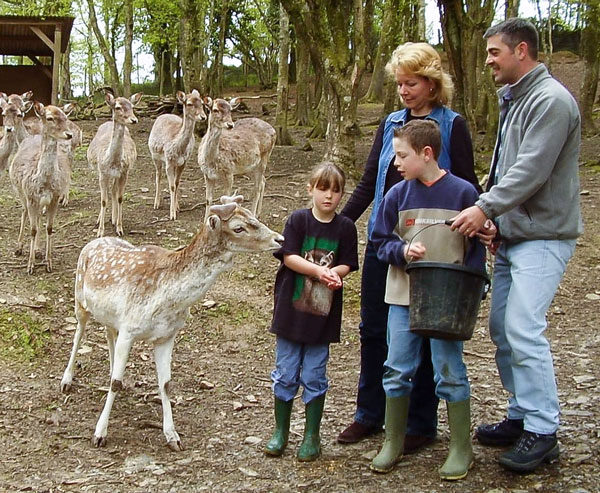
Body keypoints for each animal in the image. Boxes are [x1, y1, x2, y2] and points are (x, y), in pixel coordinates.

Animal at [8, 102, 74, 274]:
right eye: (49, 118)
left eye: (66, 117)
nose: (69, 134)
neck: (45, 183)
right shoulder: (31, 196)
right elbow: (33, 229)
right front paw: (30, 266)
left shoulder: (54, 198)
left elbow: (49, 228)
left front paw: (48, 263)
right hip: (21, 192)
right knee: (24, 212)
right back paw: (19, 248)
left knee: (37, 218)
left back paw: (37, 250)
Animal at [59, 195, 284, 450]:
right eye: (238, 227)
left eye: (253, 215)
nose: (279, 239)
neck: (168, 301)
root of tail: (90, 244)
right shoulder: (129, 328)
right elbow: (115, 383)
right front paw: (99, 434)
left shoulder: (166, 335)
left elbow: (165, 384)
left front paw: (172, 436)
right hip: (80, 299)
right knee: (78, 334)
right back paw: (66, 380)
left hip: (110, 316)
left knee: (108, 334)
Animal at [88, 93, 143, 238]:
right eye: (117, 107)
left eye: (132, 106)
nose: (134, 120)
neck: (112, 162)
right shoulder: (102, 173)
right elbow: (103, 200)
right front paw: (100, 232)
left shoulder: (124, 173)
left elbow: (120, 197)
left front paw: (119, 228)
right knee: (108, 193)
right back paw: (100, 220)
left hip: (117, 176)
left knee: (113, 191)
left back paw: (113, 219)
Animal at [149, 89, 207, 219]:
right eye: (189, 103)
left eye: (202, 103)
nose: (203, 117)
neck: (179, 148)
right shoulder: (169, 160)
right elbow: (171, 186)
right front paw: (172, 215)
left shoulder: (184, 161)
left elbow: (176, 183)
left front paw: (176, 208)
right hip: (155, 156)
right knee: (158, 176)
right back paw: (156, 204)